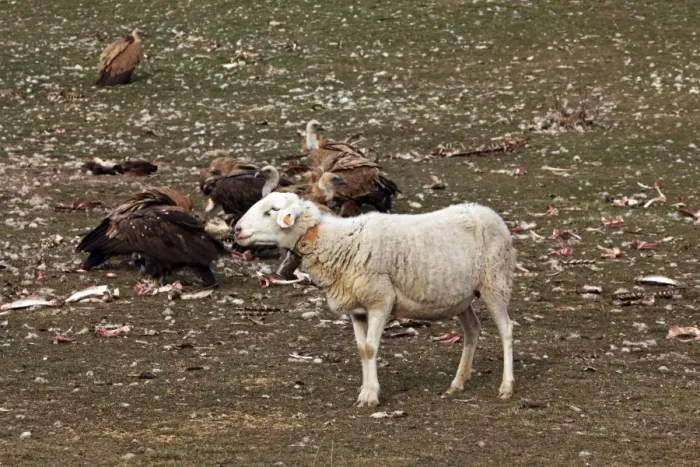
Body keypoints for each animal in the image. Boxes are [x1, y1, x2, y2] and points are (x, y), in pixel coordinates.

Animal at [235, 192, 516, 407]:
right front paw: (365, 391)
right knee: (472, 330)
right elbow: (362, 350)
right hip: (461, 296)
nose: (236, 229)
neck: (333, 242)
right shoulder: (357, 309)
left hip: (496, 281)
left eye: (272, 210)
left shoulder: (380, 300)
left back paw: (506, 386)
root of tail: (488, 212)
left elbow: (371, 349)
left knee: (506, 330)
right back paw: (457, 383)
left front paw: (371, 395)